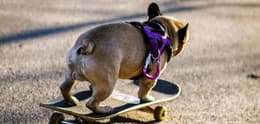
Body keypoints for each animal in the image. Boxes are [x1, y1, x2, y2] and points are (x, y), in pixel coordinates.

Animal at [59, 2, 189, 113]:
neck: (161, 29)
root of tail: (87, 43)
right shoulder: (151, 76)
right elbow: (144, 90)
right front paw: (146, 99)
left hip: (71, 74)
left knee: (64, 87)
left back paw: (71, 100)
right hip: (108, 83)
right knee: (91, 103)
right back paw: (103, 110)